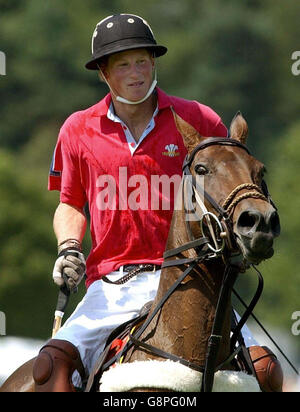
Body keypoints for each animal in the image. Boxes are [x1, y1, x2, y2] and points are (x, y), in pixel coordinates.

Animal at [1, 112, 280, 392]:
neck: (201, 365)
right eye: (201, 169)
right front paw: (67, 263)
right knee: (51, 359)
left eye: (261, 170)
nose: (259, 222)